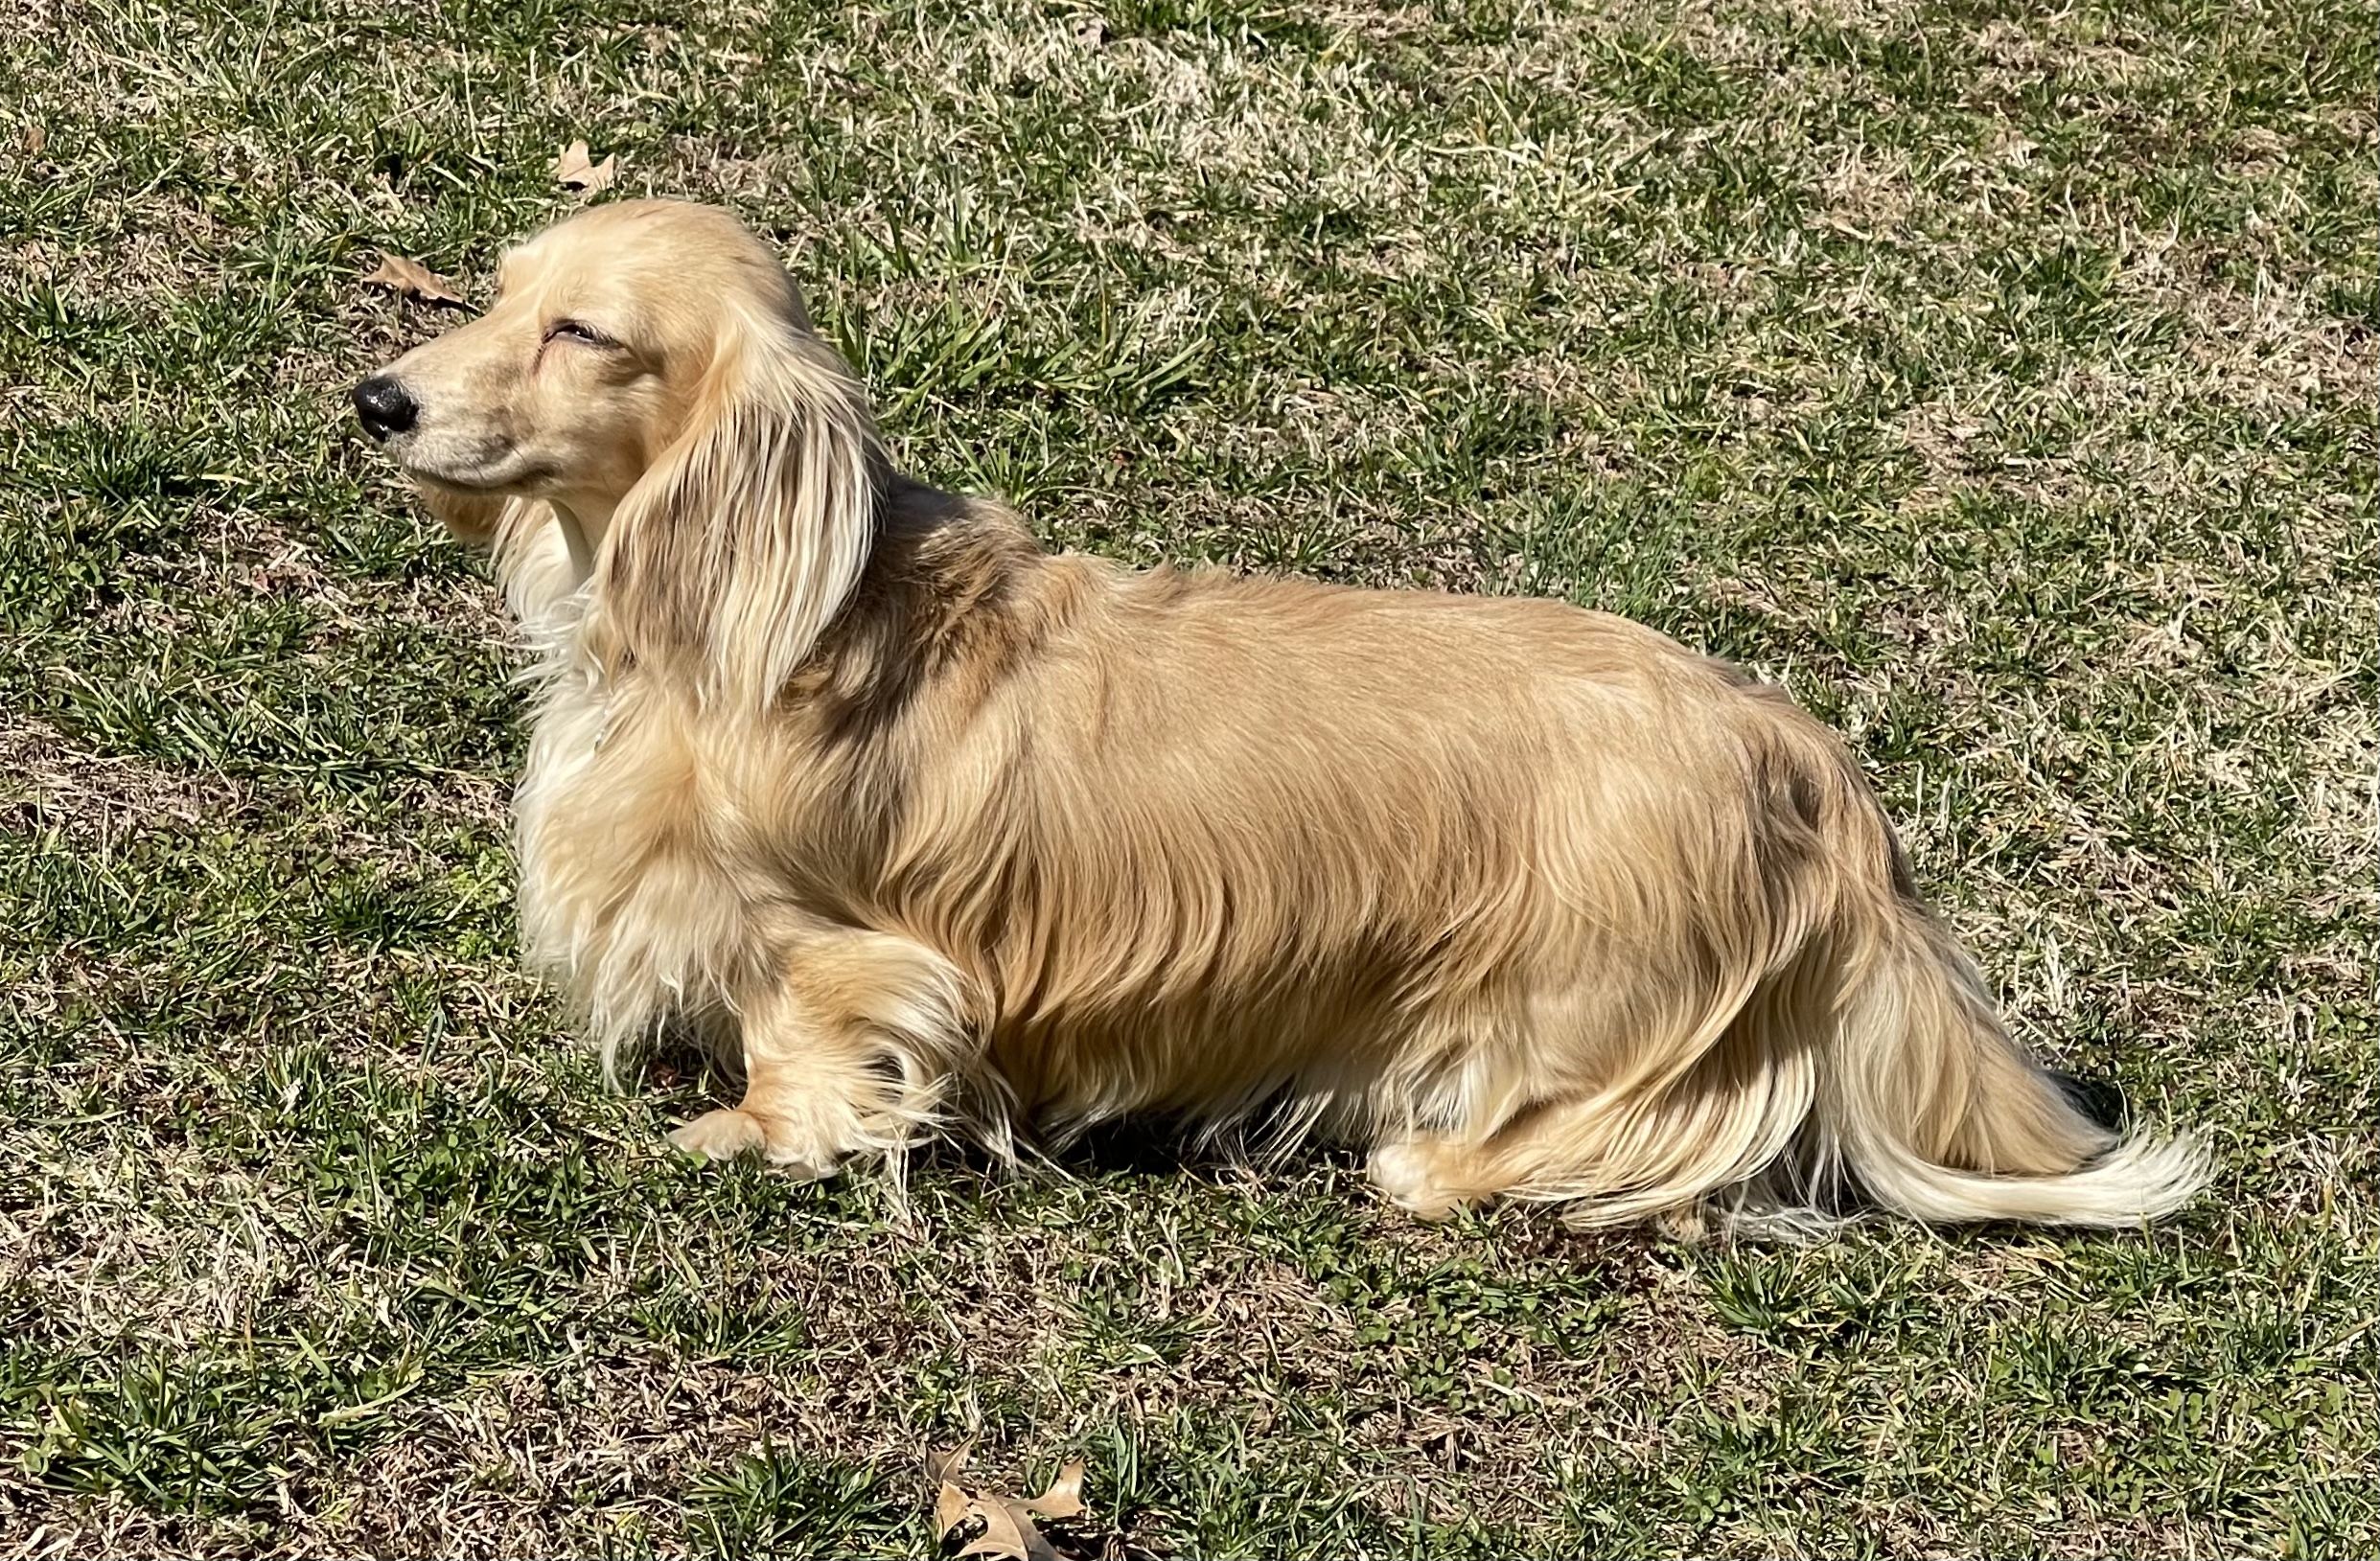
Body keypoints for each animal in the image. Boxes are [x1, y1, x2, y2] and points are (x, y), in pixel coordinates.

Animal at [357, 198, 2208, 1228]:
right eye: (495, 292)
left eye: (585, 331)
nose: (376, 397)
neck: (739, 609)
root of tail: (1801, 758)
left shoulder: (835, 938)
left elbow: (814, 1036)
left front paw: (747, 1128)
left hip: (1574, 1003)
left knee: (1632, 1132)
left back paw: (1431, 1163)